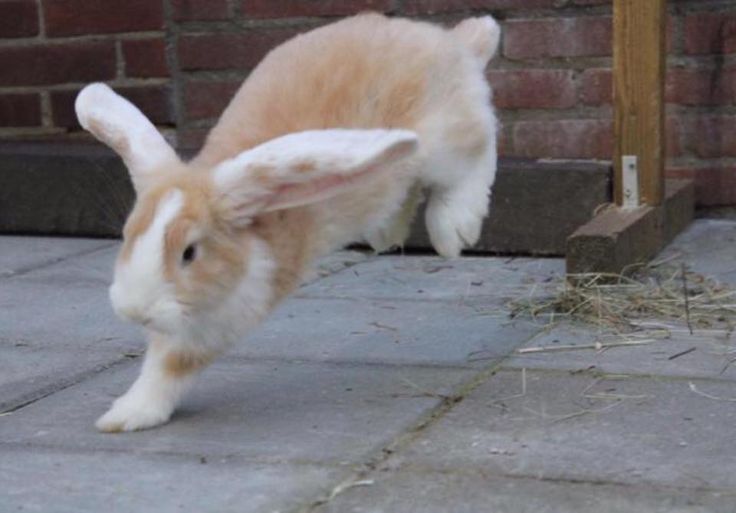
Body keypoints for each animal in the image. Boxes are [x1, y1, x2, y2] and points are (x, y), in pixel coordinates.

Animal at [75, 12, 500, 430]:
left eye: (189, 253)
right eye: (129, 235)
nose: (134, 311)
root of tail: (453, 44)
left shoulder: (228, 312)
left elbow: (173, 364)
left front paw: (128, 416)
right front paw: (122, 414)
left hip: (444, 144)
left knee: (479, 148)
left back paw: (454, 229)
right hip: (395, 162)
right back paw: (387, 232)